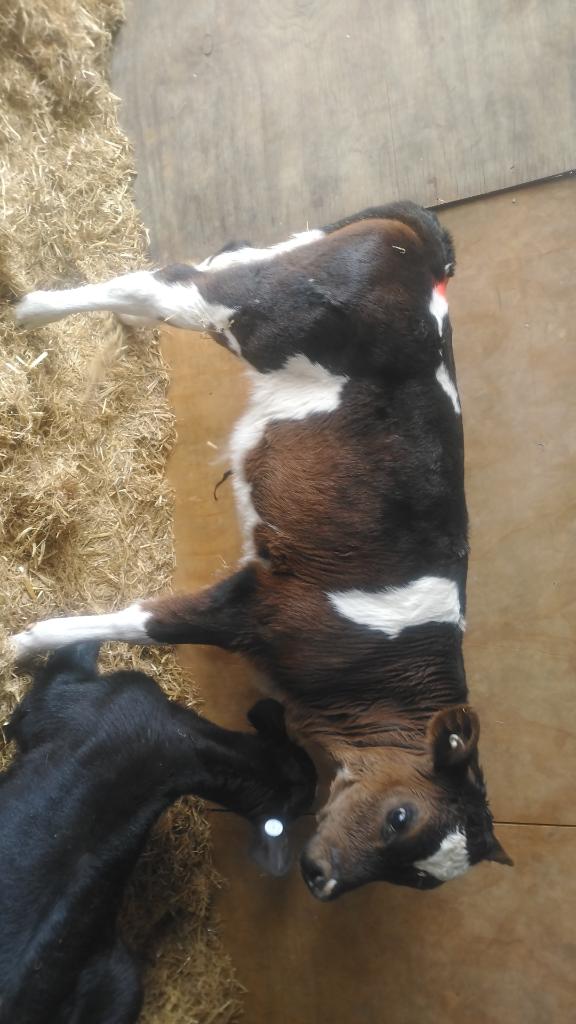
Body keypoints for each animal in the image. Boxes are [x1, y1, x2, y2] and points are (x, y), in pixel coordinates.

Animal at [11, 201, 512, 900]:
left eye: (418, 879)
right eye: (401, 817)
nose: (322, 881)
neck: (377, 672)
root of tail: (424, 255)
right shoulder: (257, 605)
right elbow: (143, 622)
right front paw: (26, 642)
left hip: (279, 275)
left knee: (214, 261)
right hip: (260, 313)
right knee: (171, 280)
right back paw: (31, 309)